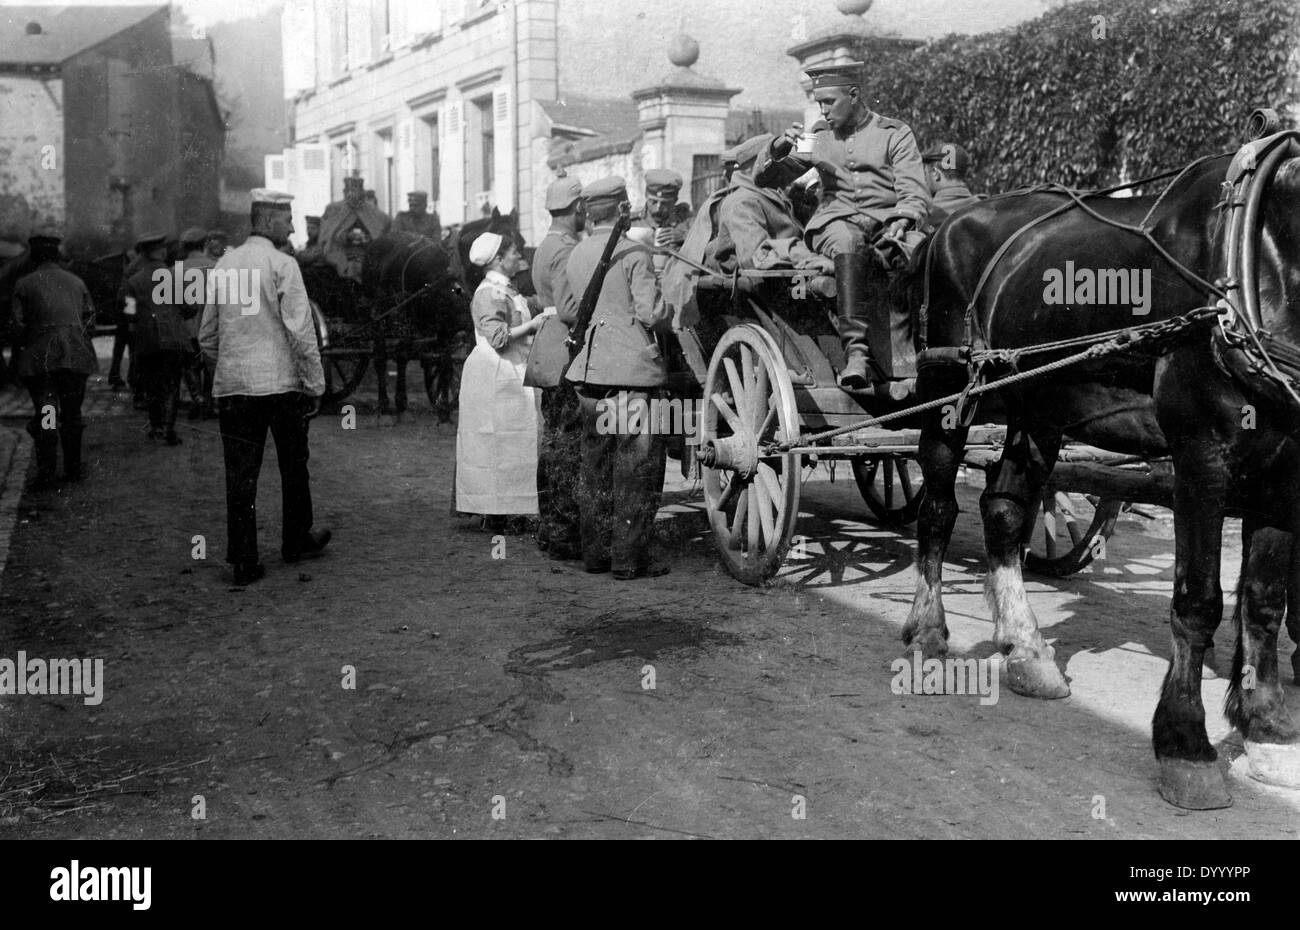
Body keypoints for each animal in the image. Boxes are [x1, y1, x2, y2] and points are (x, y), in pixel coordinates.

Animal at [909, 134, 1300, 811]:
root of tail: (951, 221)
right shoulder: (1202, 453)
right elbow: (1199, 601)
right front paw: (1185, 746)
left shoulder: (1283, 469)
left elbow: (1263, 602)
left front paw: (1268, 730)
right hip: (948, 389)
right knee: (938, 504)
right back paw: (930, 630)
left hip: (1038, 404)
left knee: (1005, 509)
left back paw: (1026, 650)